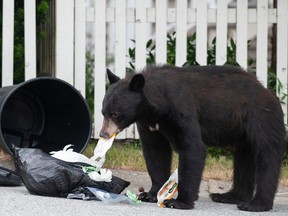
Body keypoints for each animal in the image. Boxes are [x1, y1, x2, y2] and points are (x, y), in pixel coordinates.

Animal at [99, 65, 286, 212]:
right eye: (103, 112)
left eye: (115, 114)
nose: (103, 134)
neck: (155, 107)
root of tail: (269, 92)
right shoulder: (147, 123)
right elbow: (156, 151)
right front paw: (150, 194)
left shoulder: (181, 109)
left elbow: (192, 148)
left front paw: (179, 202)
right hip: (242, 133)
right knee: (243, 159)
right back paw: (229, 196)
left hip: (261, 118)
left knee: (267, 156)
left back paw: (255, 204)